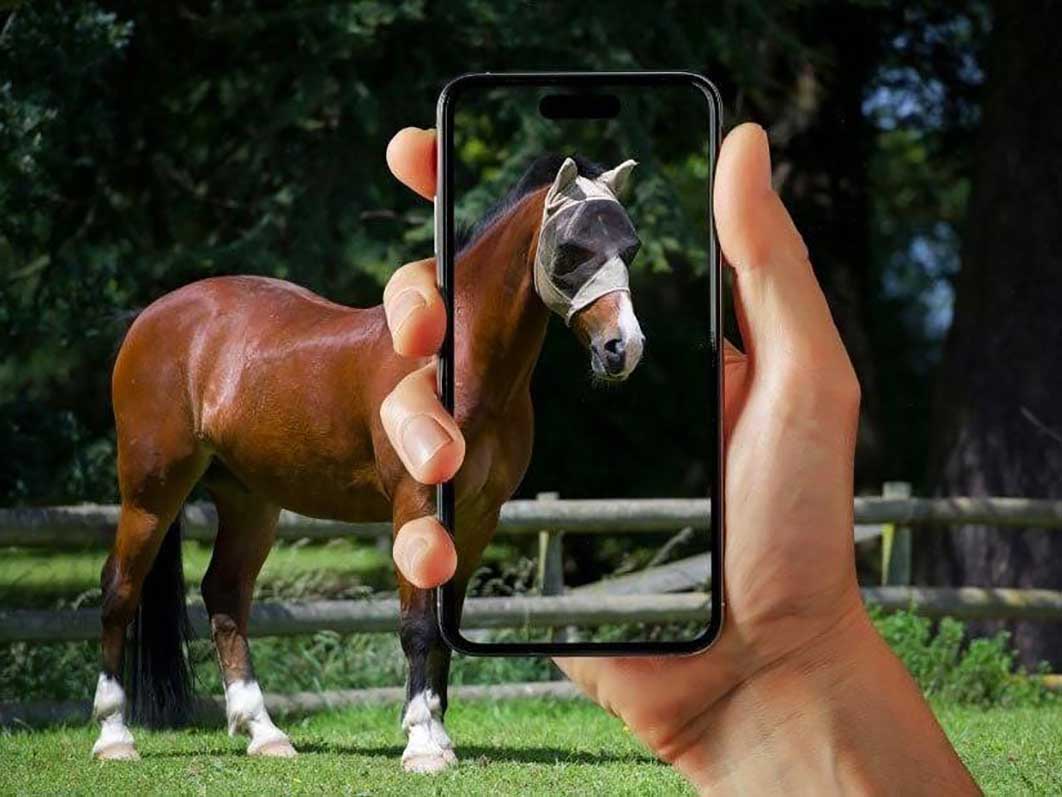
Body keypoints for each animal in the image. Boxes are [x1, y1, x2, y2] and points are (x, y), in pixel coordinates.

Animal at [91, 153, 646, 773]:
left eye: (630, 249)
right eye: (571, 249)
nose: (623, 348)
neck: (455, 366)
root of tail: (149, 318)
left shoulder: (481, 517)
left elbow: (446, 620)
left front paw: (439, 736)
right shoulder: (415, 507)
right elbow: (419, 624)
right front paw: (422, 744)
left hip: (249, 500)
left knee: (225, 596)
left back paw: (265, 734)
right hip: (151, 491)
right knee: (119, 589)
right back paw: (114, 737)